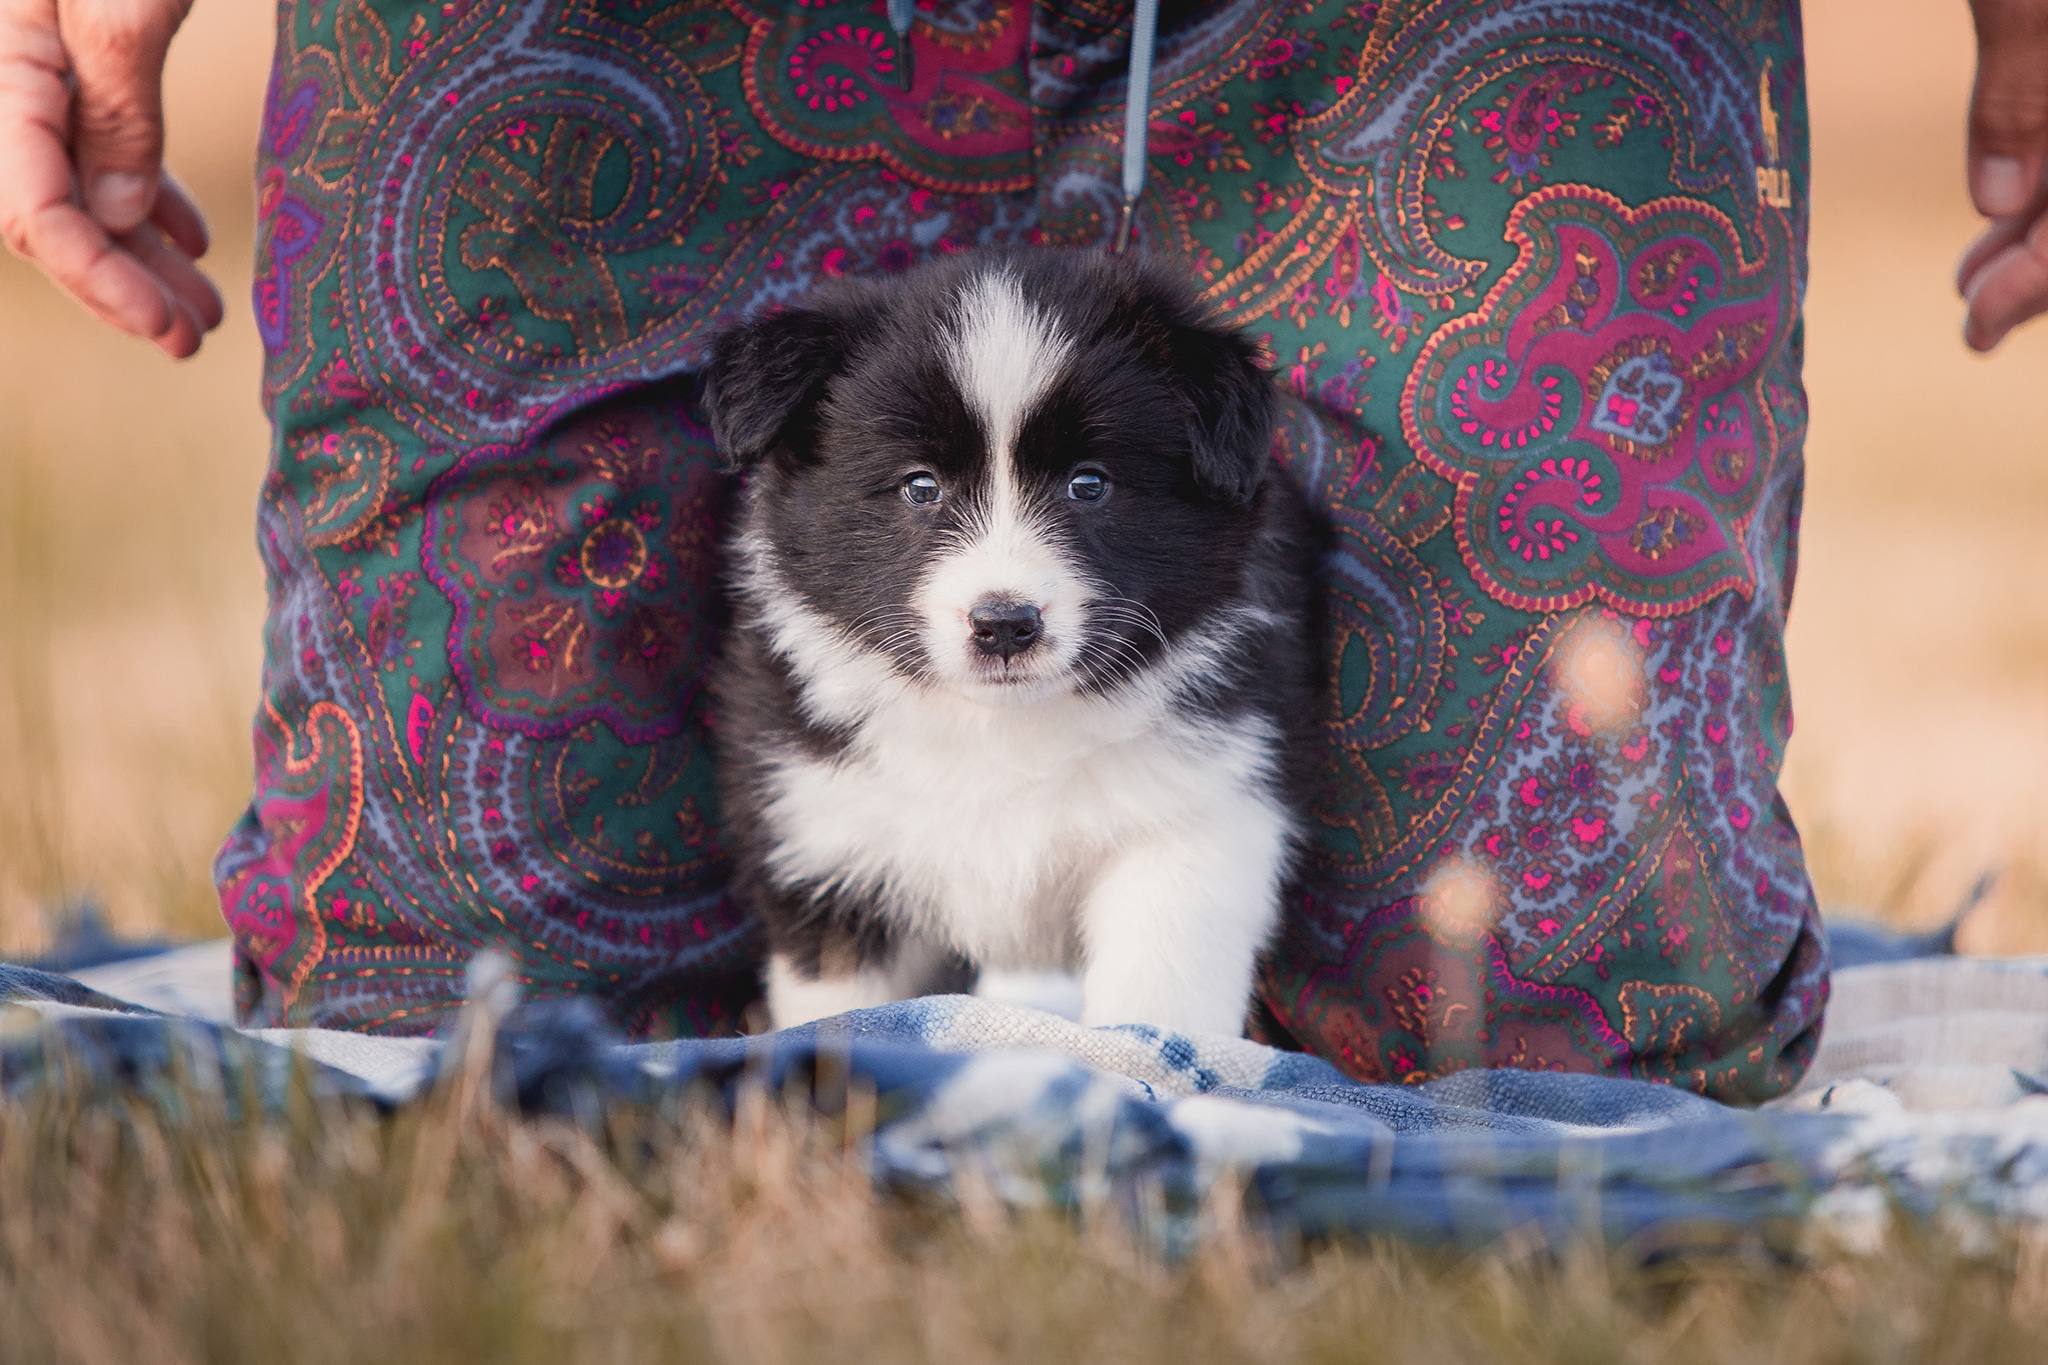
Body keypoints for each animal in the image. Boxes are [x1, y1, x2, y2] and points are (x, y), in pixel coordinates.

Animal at [700, 250, 1310, 1035]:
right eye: (920, 486)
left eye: (1089, 484)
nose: (1004, 625)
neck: (999, 730)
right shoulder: (829, 835)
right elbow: (844, 1012)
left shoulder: (1197, 816)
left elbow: (1157, 998)